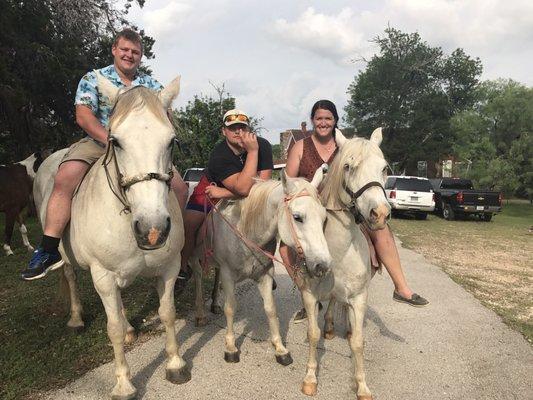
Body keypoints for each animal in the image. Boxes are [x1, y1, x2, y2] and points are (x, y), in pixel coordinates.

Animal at [32, 75, 187, 400]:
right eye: (115, 141)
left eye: (171, 141)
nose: (153, 229)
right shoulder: (102, 275)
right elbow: (111, 327)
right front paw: (124, 384)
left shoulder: (168, 268)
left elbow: (167, 313)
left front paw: (175, 364)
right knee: (69, 275)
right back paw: (76, 318)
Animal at [191, 170, 332, 364]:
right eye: (297, 217)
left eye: (324, 218)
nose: (323, 265)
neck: (245, 232)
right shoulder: (228, 275)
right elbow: (230, 308)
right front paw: (231, 347)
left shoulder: (265, 274)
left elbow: (270, 309)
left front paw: (280, 349)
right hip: (194, 258)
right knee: (197, 277)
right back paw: (199, 314)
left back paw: (214, 304)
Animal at [298, 128, 388, 400]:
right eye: (348, 166)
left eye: (384, 168)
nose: (379, 214)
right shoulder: (309, 294)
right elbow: (313, 333)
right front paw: (310, 379)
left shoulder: (359, 296)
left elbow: (358, 342)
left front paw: (362, 386)